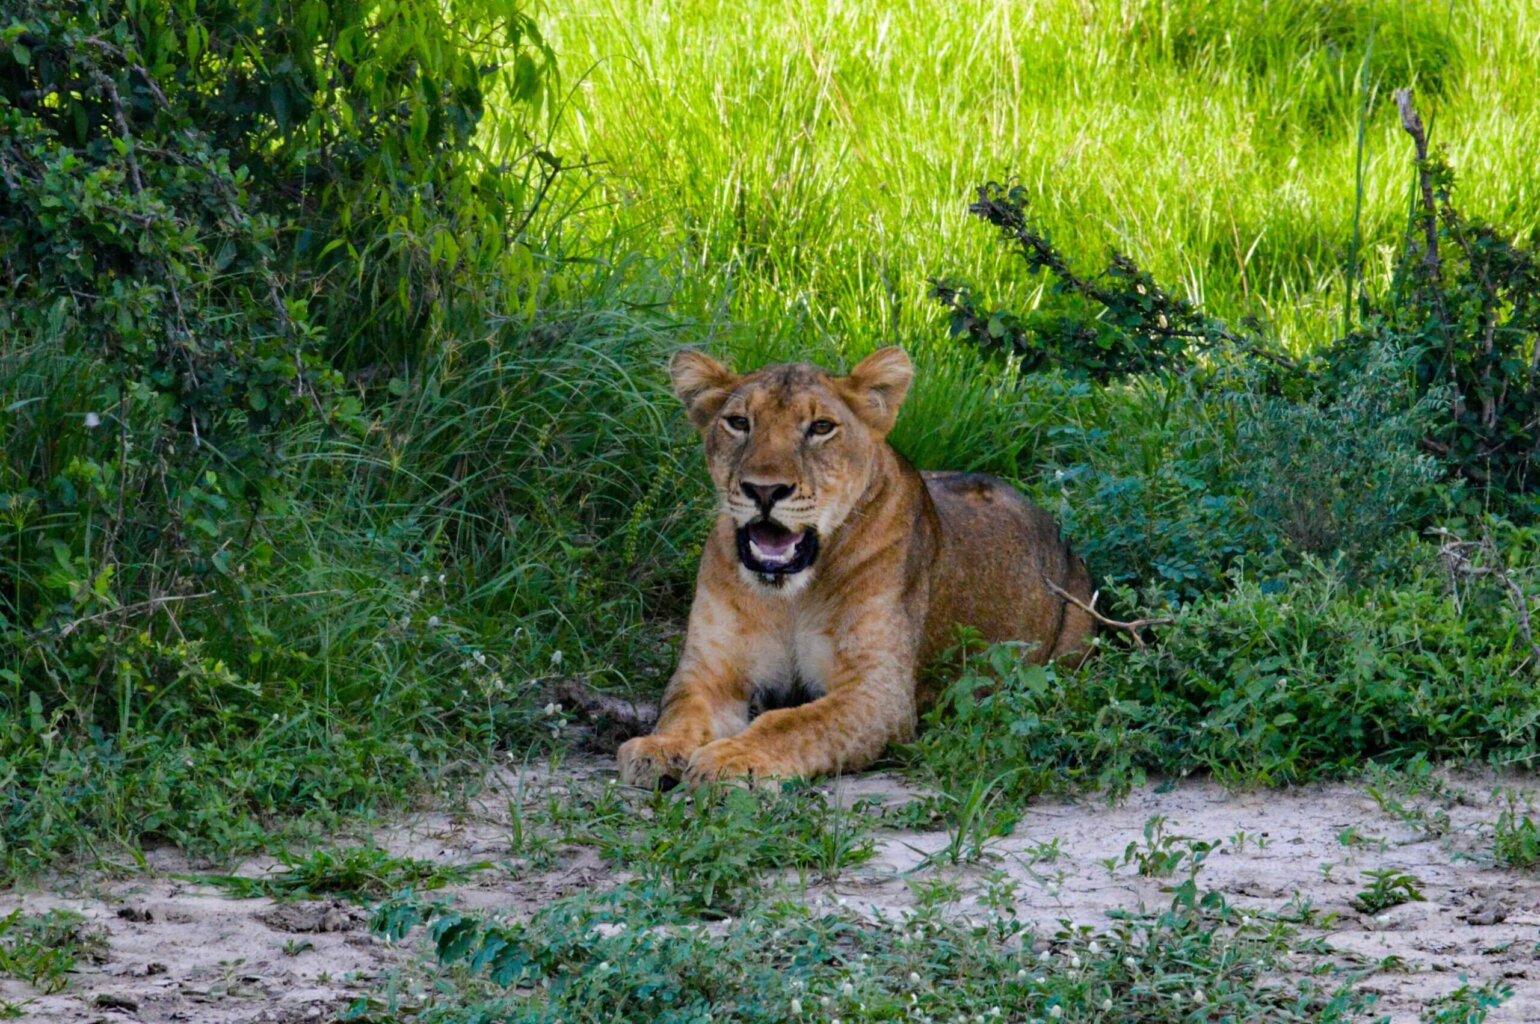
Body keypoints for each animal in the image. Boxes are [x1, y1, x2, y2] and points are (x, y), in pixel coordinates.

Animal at [616, 346, 1095, 787]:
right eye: (739, 422)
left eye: (820, 428)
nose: (764, 490)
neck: (789, 596)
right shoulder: (710, 672)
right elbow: (684, 709)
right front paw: (657, 747)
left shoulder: (877, 693)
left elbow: (793, 724)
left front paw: (732, 758)